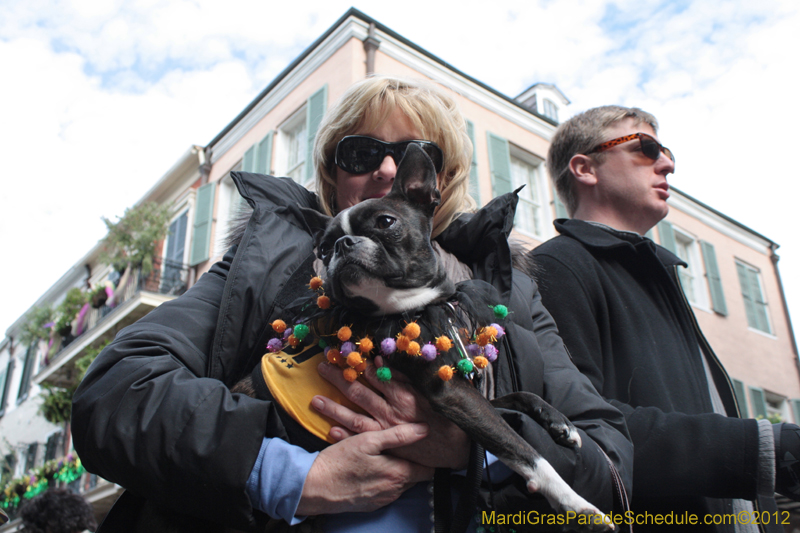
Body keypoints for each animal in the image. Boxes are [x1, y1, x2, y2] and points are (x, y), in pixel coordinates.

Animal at [296, 143, 612, 528]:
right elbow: (524, 449)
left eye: (385, 222)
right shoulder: (453, 394)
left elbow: (518, 397)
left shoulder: (469, 389)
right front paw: (577, 505)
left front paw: (559, 422)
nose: (342, 244)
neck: (415, 309)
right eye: (323, 249)